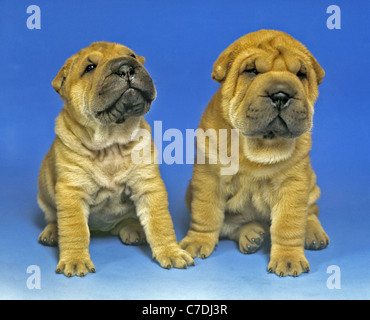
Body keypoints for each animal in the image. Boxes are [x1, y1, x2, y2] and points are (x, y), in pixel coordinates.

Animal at [37, 42, 194, 278]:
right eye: (90, 67)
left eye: (132, 56)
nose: (126, 68)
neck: (111, 141)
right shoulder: (72, 190)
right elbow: (74, 229)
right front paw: (75, 260)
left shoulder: (149, 185)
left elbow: (160, 223)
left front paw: (171, 251)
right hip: (44, 195)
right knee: (54, 218)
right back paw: (52, 232)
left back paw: (134, 230)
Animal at [181, 30, 328, 278]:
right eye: (251, 71)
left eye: (301, 74)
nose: (281, 94)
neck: (260, 145)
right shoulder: (208, 176)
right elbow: (206, 213)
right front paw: (197, 241)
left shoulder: (293, 183)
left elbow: (288, 224)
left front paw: (288, 259)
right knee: (231, 224)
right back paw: (250, 234)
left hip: (312, 185)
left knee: (311, 211)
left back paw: (313, 232)